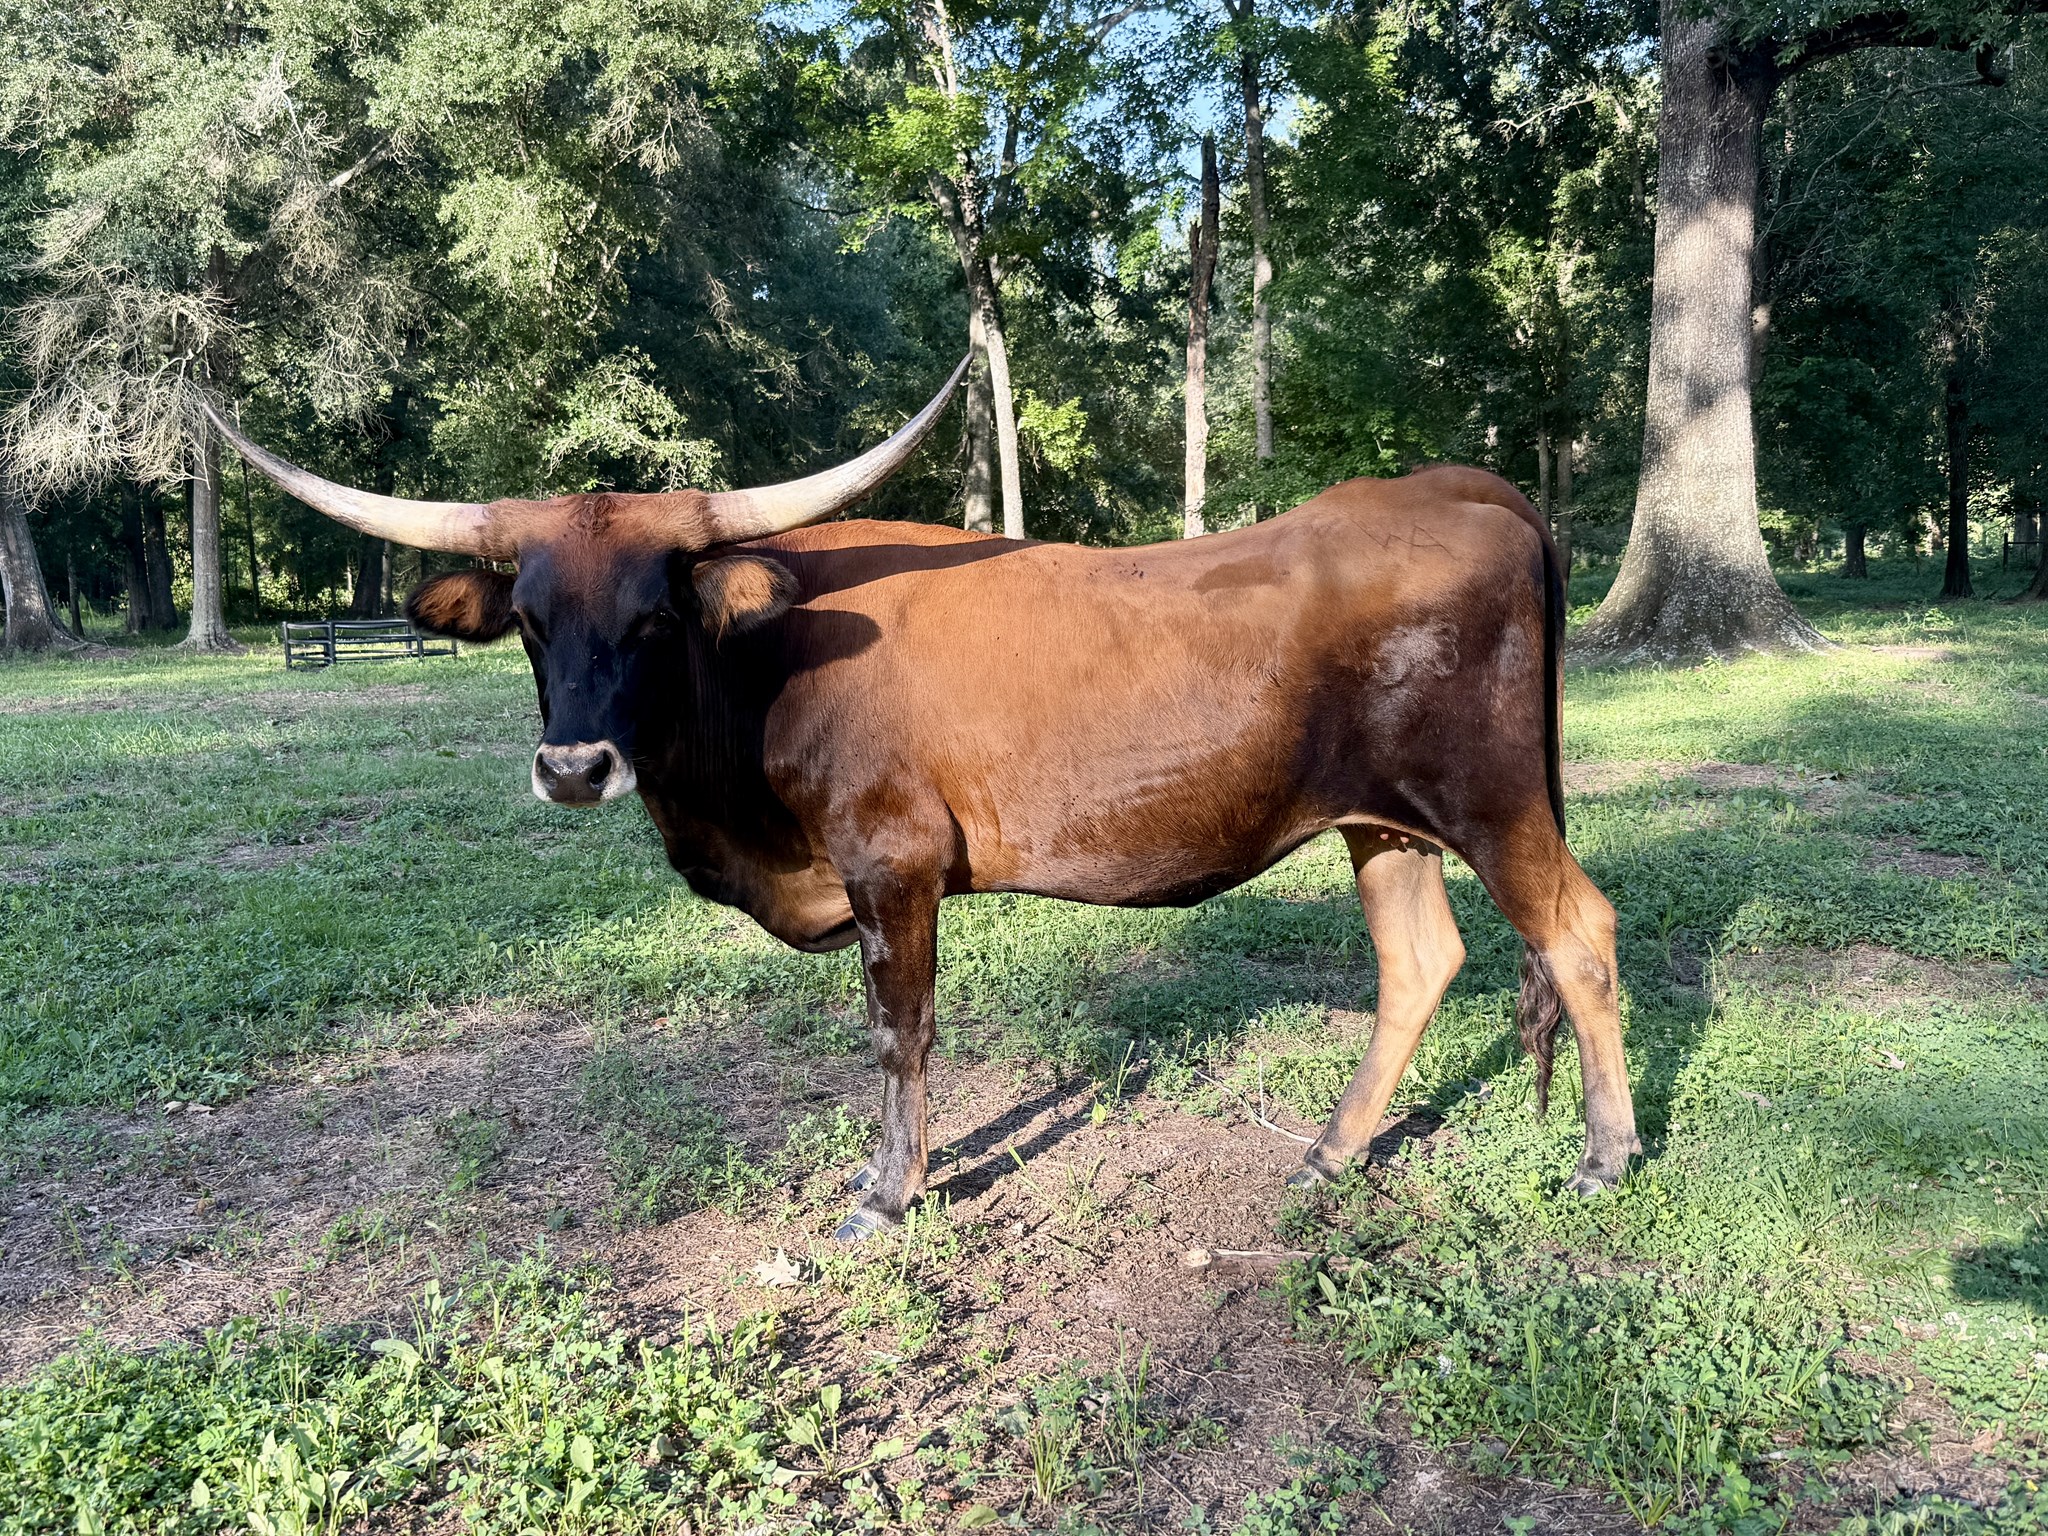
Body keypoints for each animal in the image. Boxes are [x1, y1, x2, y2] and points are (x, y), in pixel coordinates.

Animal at [201, 366, 1639, 1241]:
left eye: (657, 614)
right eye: (531, 620)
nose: (572, 767)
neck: (772, 660)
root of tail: (1456, 486)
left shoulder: (889, 863)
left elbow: (900, 1037)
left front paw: (885, 1198)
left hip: (1491, 801)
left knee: (1578, 932)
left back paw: (1605, 1153)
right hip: (1380, 821)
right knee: (1422, 960)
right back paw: (1332, 1153)